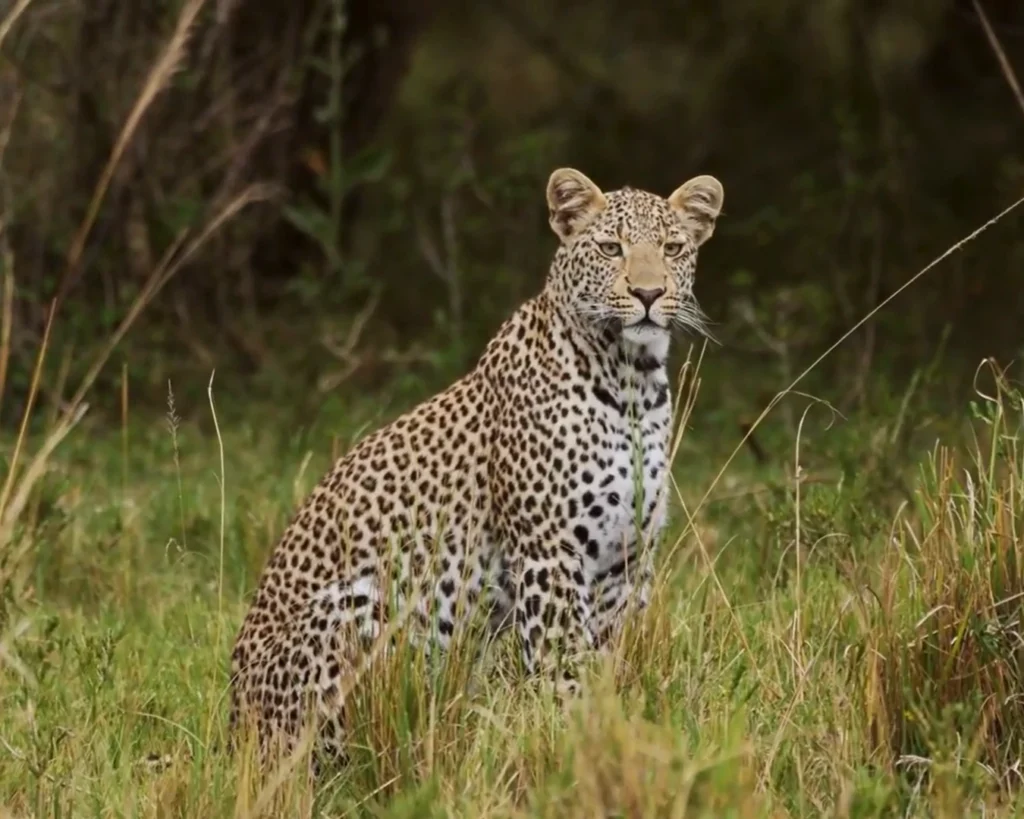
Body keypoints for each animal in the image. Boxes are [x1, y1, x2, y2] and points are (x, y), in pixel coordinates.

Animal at [228, 166, 724, 766]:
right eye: (611, 248)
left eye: (672, 248)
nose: (649, 294)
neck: (633, 382)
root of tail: (230, 724)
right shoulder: (549, 553)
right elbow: (562, 665)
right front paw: (568, 742)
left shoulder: (624, 563)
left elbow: (604, 663)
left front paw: (604, 733)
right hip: (360, 604)